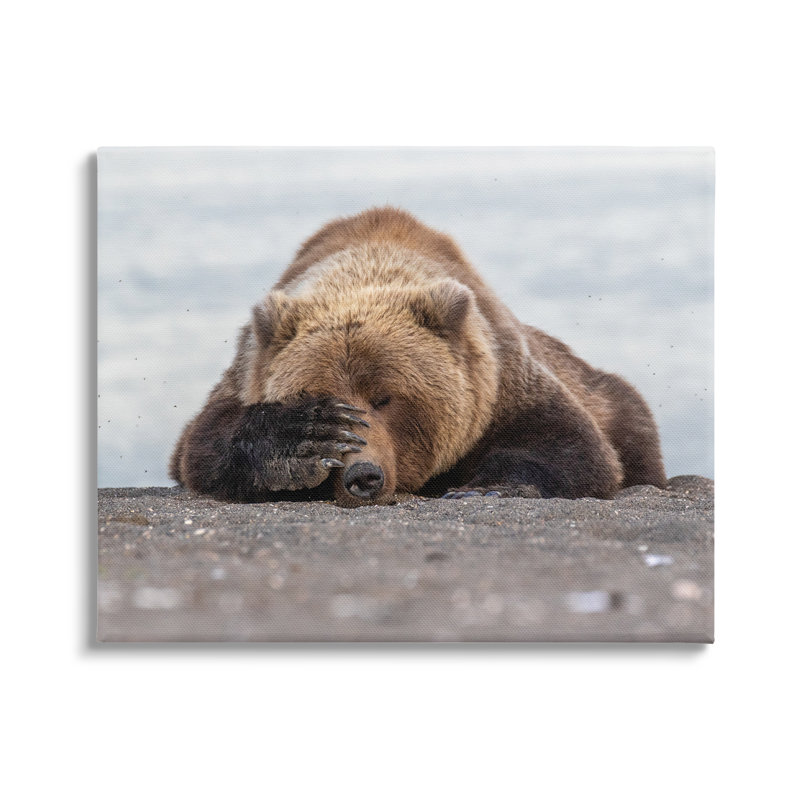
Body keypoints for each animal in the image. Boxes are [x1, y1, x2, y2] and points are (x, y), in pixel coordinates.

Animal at [169, 207, 666, 506]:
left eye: (385, 398)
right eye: (321, 395)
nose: (362, 476)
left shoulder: (500, 382)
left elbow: (572, 446)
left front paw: (485, 489)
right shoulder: (246, 371)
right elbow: (203, 443)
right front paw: (304, 439)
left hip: (607, 395)